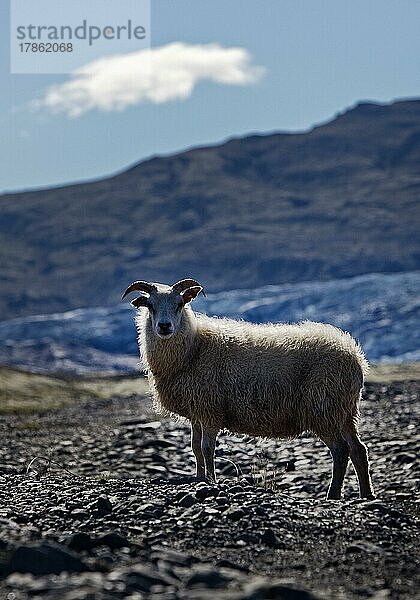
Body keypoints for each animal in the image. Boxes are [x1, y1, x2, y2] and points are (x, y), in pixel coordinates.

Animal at [120, 278, 374, 500]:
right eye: (150, 306)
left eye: (180, 304)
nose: (164, 327)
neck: (193, 348)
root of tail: (354, 356)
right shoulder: (197, 411)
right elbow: (195, 449)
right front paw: (200, 478)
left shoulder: (210, 409)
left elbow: (207, 448)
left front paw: (211, 481)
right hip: (343, 411)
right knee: (358, 450)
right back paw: (366, 494)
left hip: (323, 408)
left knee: (341, 450)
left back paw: (333, 494)